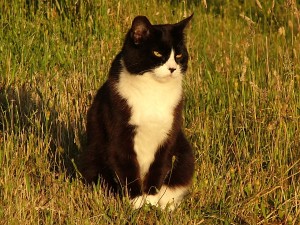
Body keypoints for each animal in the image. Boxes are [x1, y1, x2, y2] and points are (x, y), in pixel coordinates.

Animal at [80, 13, 195, 211]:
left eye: (179, 54)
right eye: (157, 53)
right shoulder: (120, 132)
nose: (173, 68)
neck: (154, 91)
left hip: (185, 154)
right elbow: (126, 166)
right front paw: (136, 201)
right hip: (92, 156)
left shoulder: (168, 136)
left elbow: (159, 167)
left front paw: (150, 201)